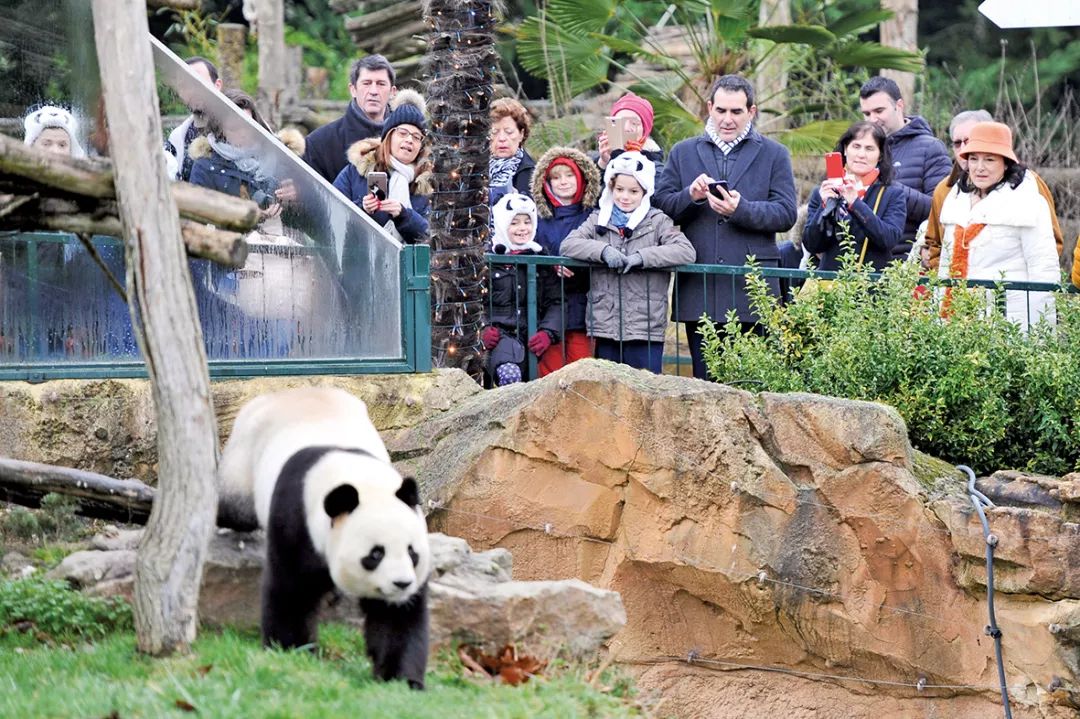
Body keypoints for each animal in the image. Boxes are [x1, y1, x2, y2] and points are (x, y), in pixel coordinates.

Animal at [217, 386, 432, 690]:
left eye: (413, 553)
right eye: (375, 554)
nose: (401, 584)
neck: (358, 479)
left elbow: (396, 620)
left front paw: (402, 680)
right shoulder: (296, 516)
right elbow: (291, 590)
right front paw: (290, 651)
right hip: (243, 458)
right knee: (234, 507)